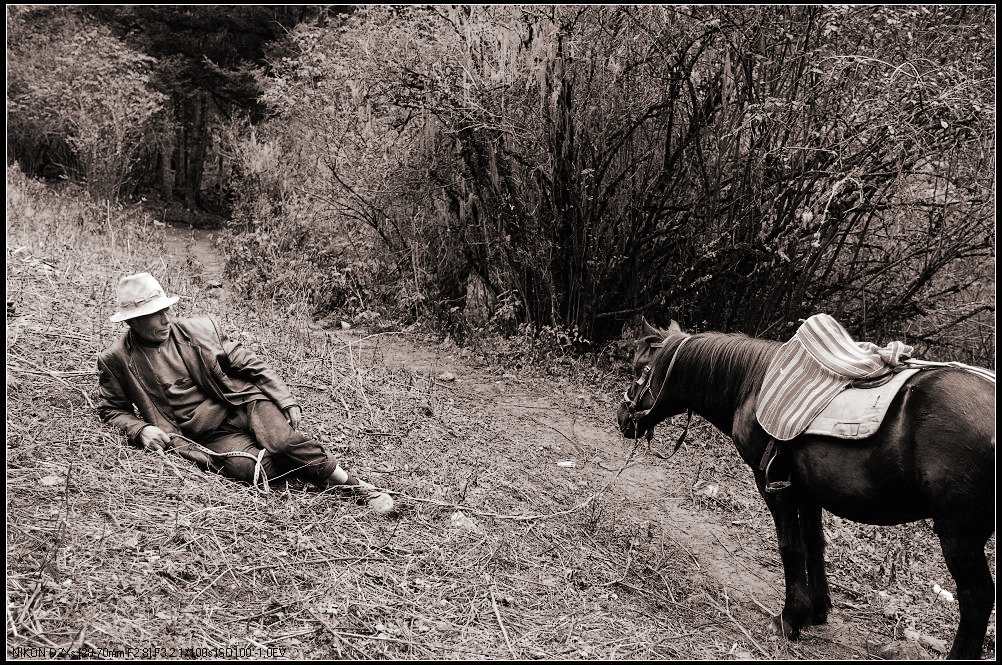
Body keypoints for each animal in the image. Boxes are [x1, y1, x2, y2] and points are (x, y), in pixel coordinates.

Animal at [617, 320, 993, 656]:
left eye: (640, 369)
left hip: (959, 533)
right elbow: (814, 544)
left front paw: (790, 618)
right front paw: (817, 610)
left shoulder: (774, 485)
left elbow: (790, 545)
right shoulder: (808, 491)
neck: (754, 385)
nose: (622, 417)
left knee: (976, 599)